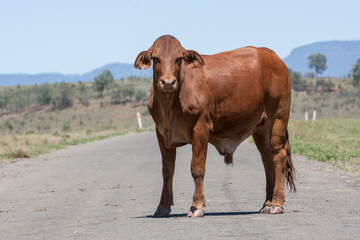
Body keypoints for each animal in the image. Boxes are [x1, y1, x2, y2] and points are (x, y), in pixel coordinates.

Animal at [135, 35, 296, 218]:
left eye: (179, 59)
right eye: (155, 58)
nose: (168, 82)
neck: (171, 105)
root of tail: (273, 56)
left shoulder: (201, 129)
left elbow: (197, 168)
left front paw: (197, 206)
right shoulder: (162, 134)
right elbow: (167, 171)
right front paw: (163, 207)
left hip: (278, 118)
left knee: (279, 156)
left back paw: (276, 203)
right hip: (261, 128)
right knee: (268, 159)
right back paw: (267, 203)